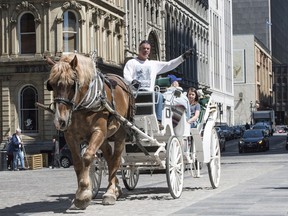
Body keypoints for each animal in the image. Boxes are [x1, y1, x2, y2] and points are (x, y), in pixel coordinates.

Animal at [45, 53, 134, 209]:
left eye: (72, 84)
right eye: (52, 84)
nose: (60, 121)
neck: (84, 105)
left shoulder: (98, 131)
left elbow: (87, 156)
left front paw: (84, 193)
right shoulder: (70, 136)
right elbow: (78, 162)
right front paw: (81, 193)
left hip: (119, 135)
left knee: (116, 160)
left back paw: (110, 192)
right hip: (105, 139)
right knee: (110, 158)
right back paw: (116, 188)